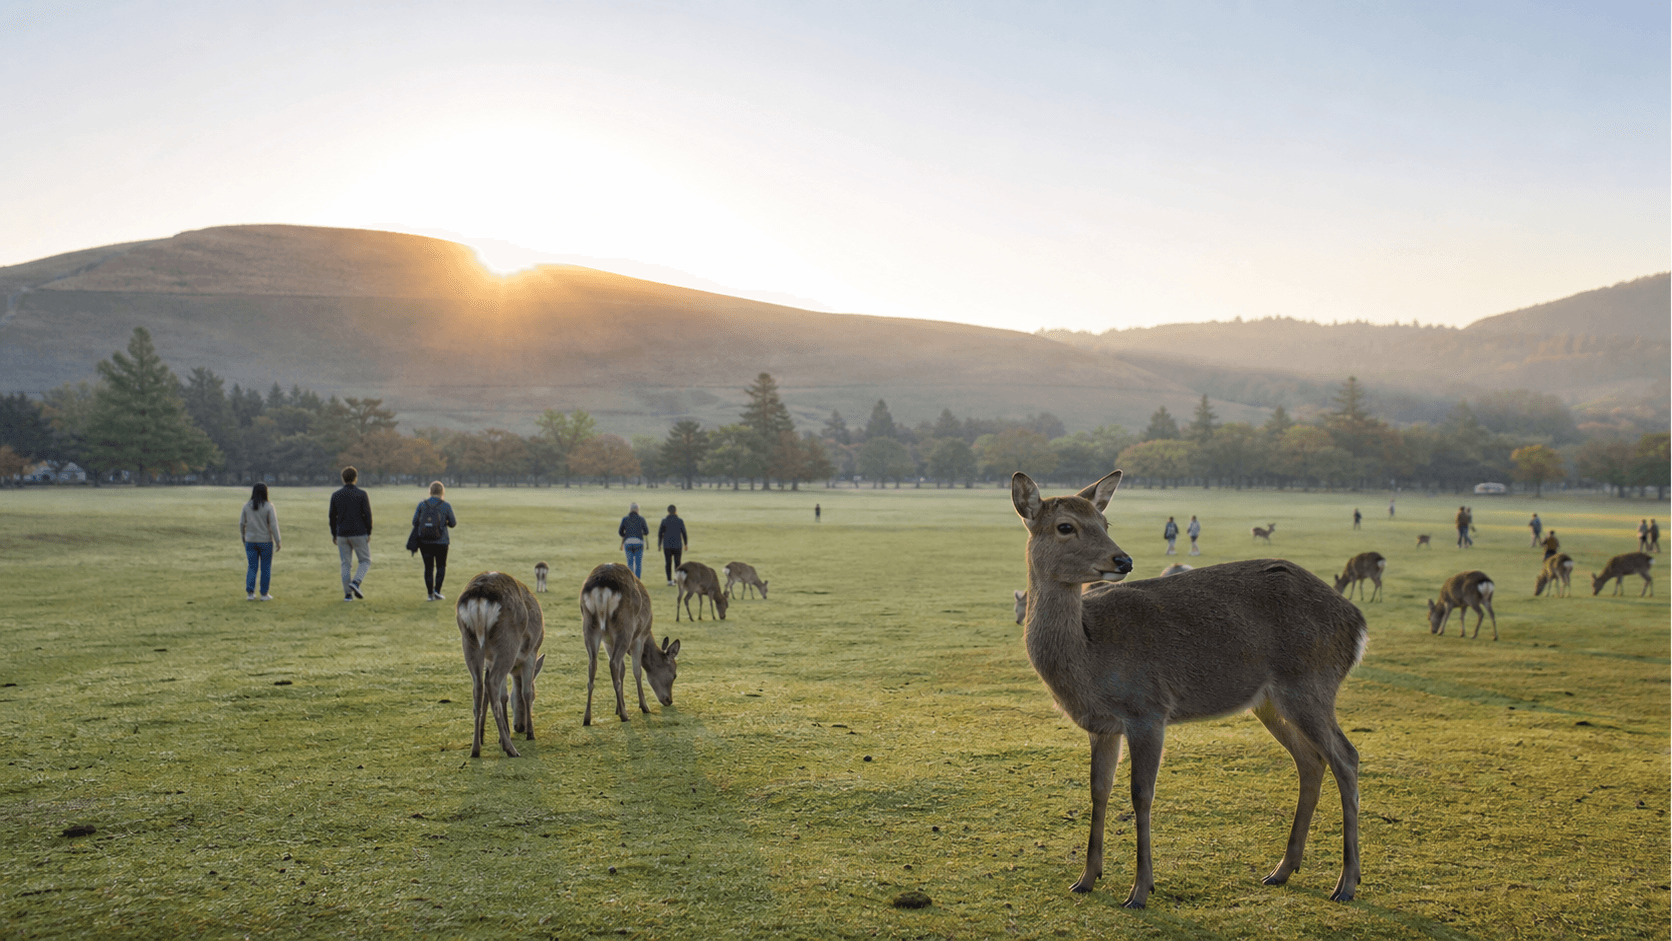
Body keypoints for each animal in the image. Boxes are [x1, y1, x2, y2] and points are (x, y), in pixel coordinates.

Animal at [456, 571, 546, 758]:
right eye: (536, 697)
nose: (520, 727)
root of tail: (480, 595)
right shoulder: (532, 653)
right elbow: (525, 692)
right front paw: (530, 733)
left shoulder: (490, 660)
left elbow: (502, 695)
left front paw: (489, 734)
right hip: (507, 641)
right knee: (492, 682)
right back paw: (510, 748)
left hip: (469, 640)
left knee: (479, 686)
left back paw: (476, 748)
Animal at [579, 562, 680, 725]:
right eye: (675, 674)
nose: (669, 700)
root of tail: (601, 588)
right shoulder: (640, 636)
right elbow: (636, 670)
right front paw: (643, 706)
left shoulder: (608, 642)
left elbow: (622, 670)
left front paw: (617, 708)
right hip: (625, 627)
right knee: (613, 663)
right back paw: (625, 716)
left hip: (589, 624)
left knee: (593, 665)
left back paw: (587, 718)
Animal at [1013, 470, 1363, 908]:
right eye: (1066, 526)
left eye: (1105, 523)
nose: (1123, 560)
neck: (1088, 656)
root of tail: (1358, 624)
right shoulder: (1102, 725)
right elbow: (1098, 790)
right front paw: (1086, 878)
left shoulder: (1148, 708)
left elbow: (1141, 794)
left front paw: (1140, 890)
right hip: (1270, 701)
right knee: (1311, 760)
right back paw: (1282, 870)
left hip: (1310, 683)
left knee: (1346, 758)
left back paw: (1346, 883)